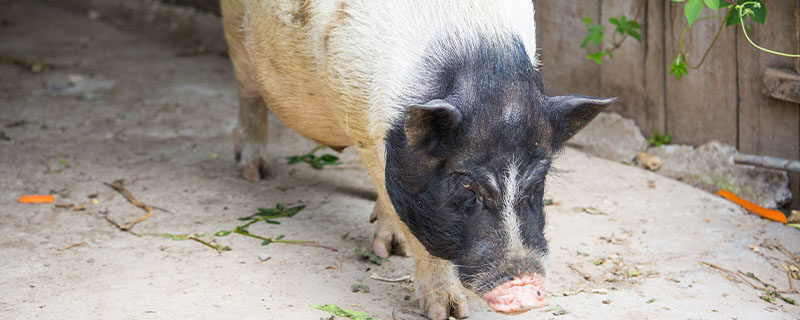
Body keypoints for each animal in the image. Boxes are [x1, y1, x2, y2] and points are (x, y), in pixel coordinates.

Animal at [219, 0, 612, 318]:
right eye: (466, 184)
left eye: (538, 180)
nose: (525, 290)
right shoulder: (366, 127)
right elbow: (413, 219)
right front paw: (447, 312)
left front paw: (391, 252)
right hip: (236, 28)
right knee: (248, 89)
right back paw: (255, 172)